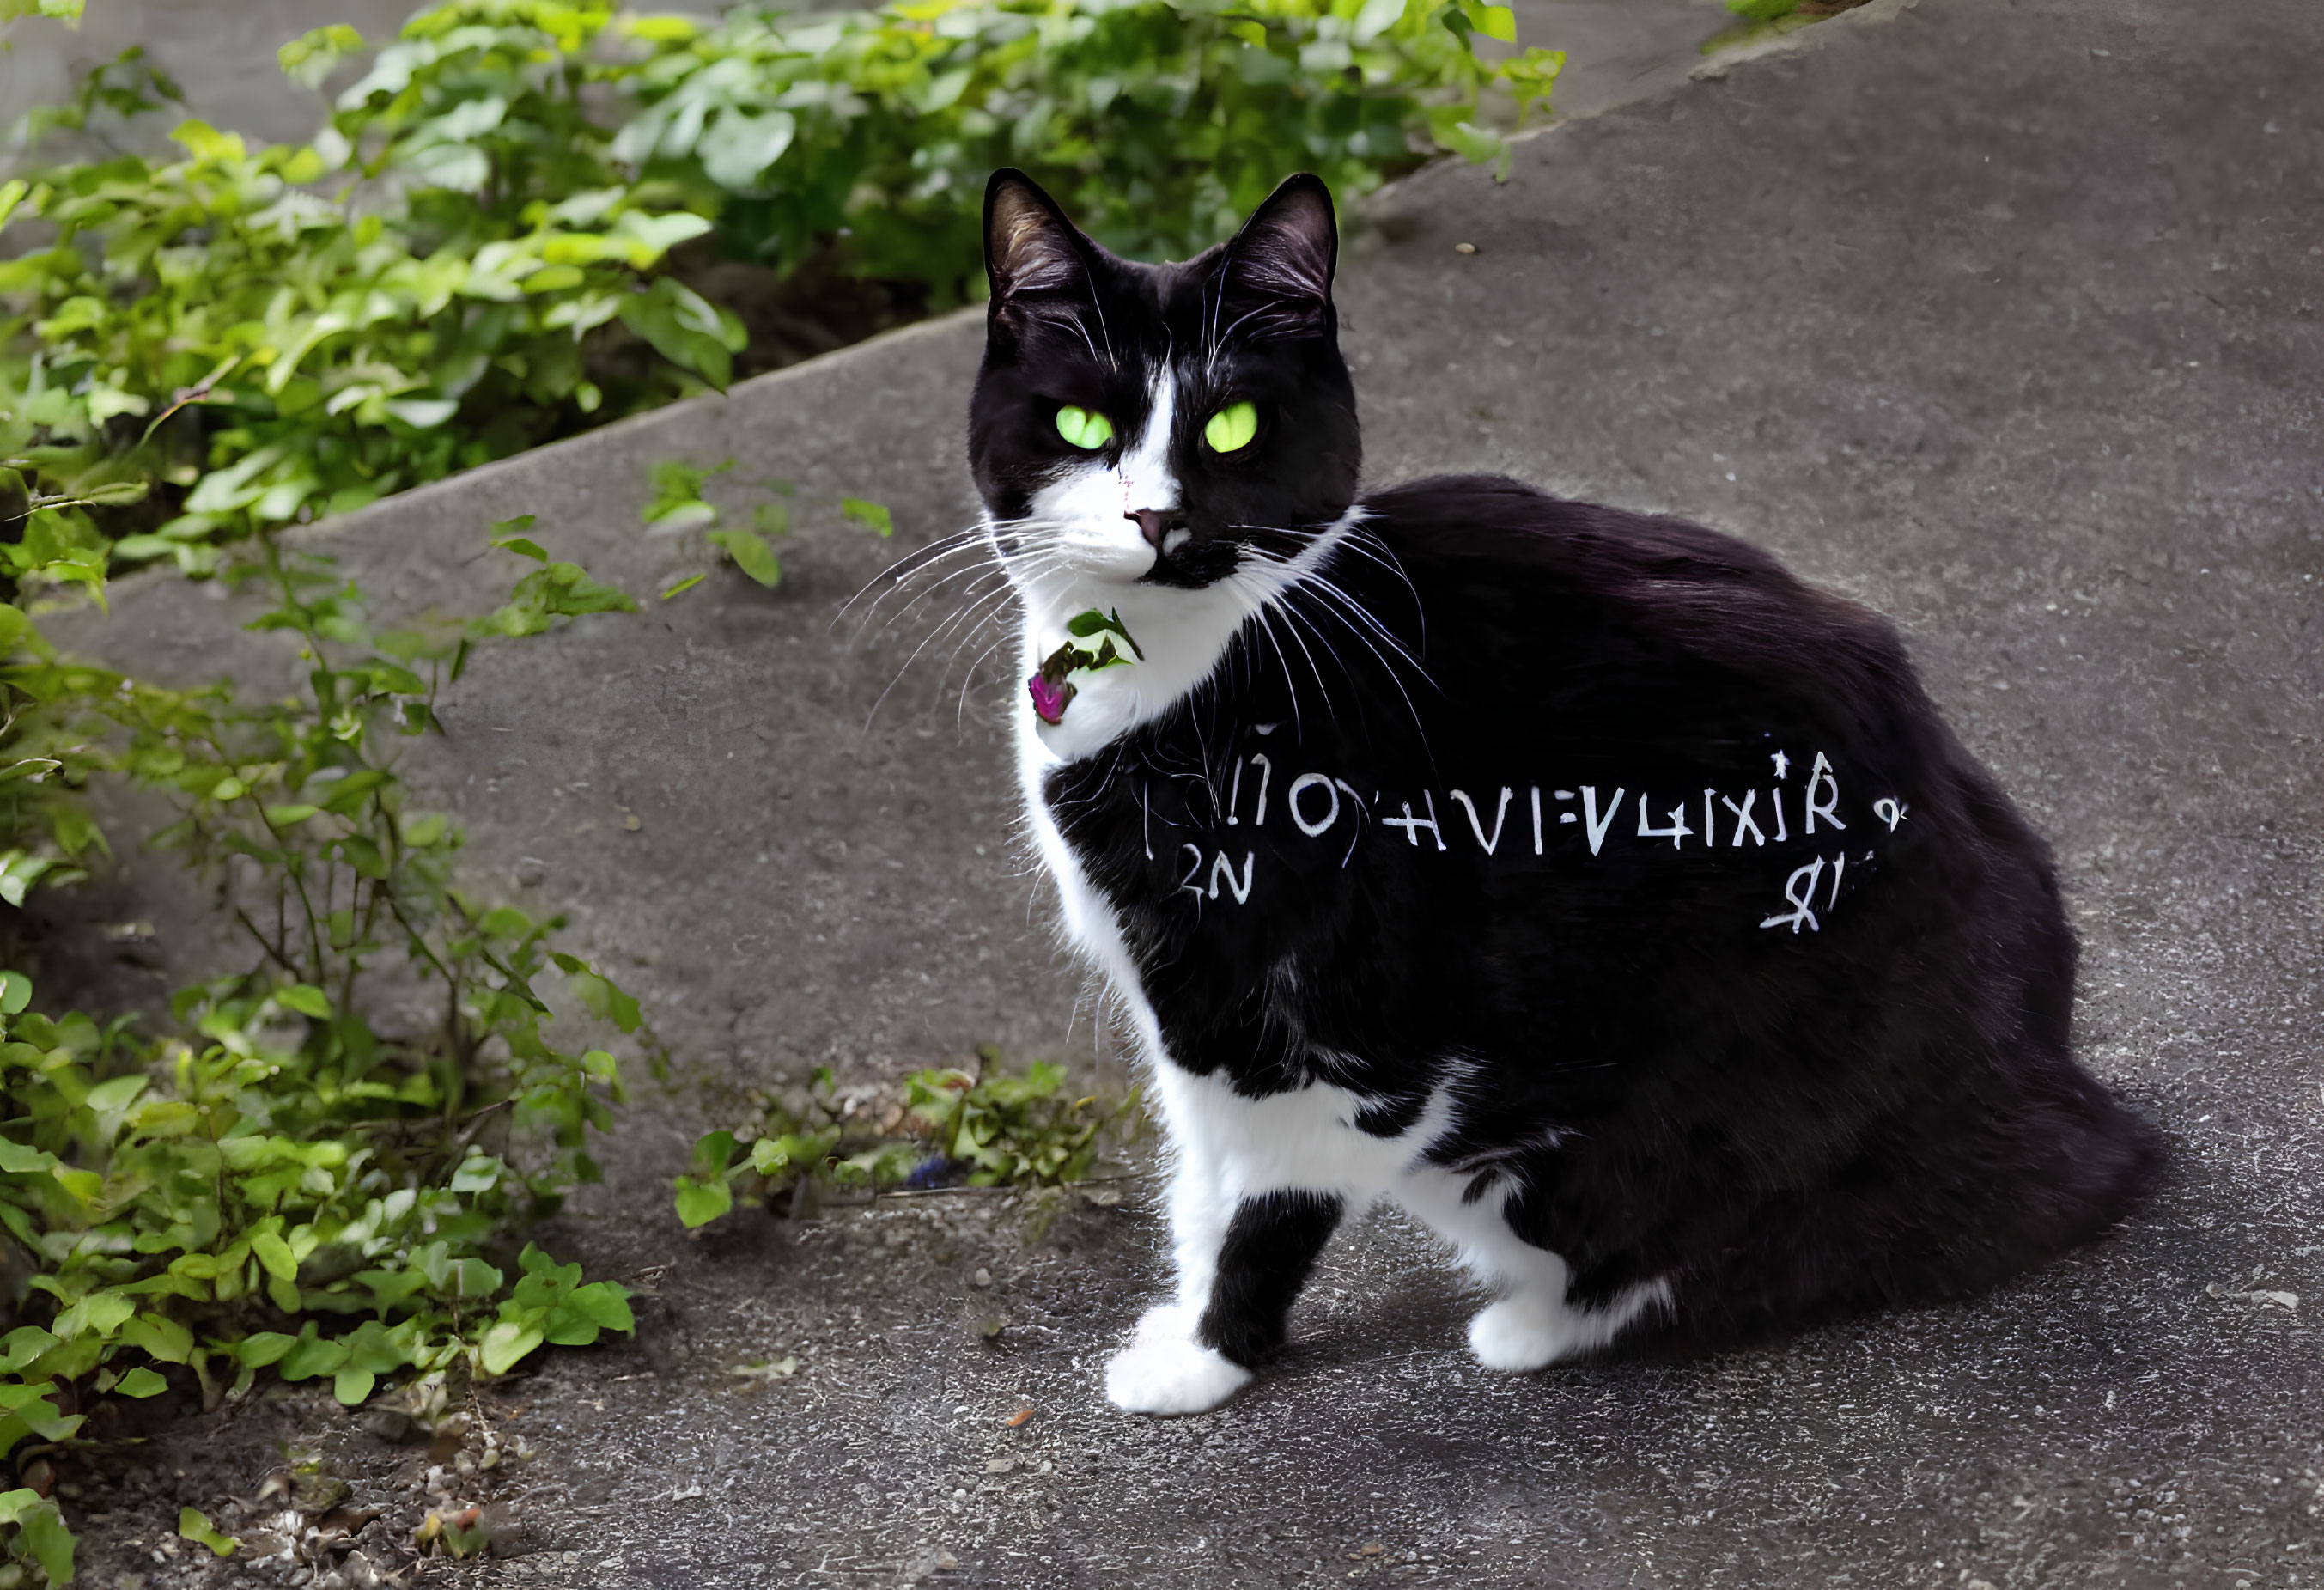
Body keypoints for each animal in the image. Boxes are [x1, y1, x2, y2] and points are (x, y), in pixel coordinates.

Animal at [952, 170, 2147, 1413]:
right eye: (1082, 426)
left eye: (1233, 424)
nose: (1156, 518)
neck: (1182, 672)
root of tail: (2066, 1093)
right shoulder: (1184, 1013)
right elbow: (1195, 1175)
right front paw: (1186, 1324)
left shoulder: (1320, 1019)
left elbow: (1261, 1194)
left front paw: (1206, 1358)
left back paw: (1532, 1322)